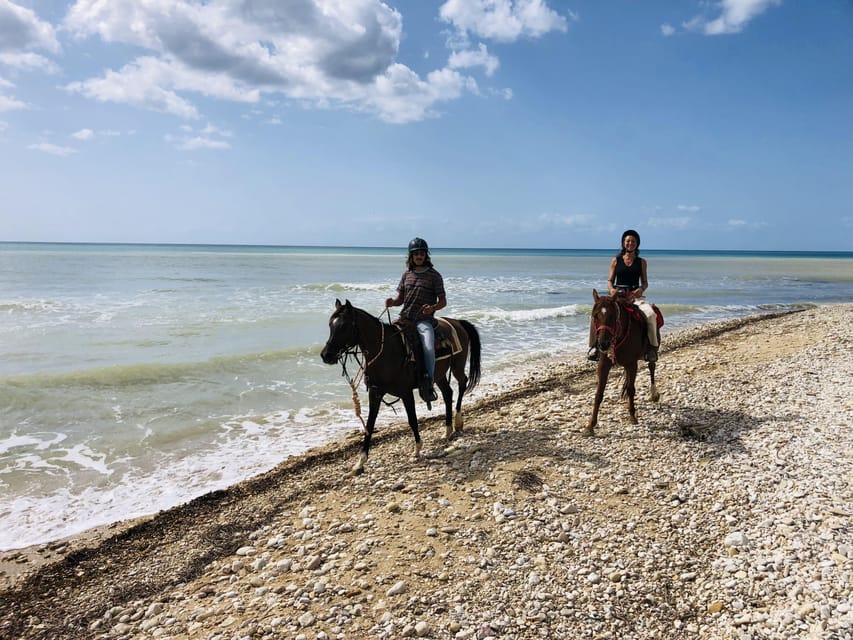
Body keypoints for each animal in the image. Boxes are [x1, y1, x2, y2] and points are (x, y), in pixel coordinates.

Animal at [320, 300, 480, 476]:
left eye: (344, 326)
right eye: (330, 325)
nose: (326, 355)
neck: (386, 352)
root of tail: (457, 322)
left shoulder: (406, 392)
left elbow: (412, 419)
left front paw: (417, 449)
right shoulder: (375, 393)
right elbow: (369, 425)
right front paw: (360, 462)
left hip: (457, 365)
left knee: (462, 383)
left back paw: (458, 422)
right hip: (439, 374)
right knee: (447, 393)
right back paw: (447, 430)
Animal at [584, 288, 660, 436]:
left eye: (613, 316)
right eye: (595, 316)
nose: (603, 344)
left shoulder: (632, 364)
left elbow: (631, 389)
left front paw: (632, 416)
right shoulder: (604, 365)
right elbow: (599, 394)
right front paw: (591, 425)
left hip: (652, 350)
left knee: (652, 367)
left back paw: (654, 393)